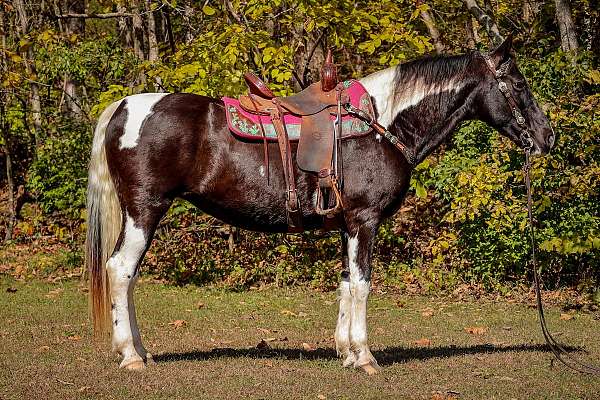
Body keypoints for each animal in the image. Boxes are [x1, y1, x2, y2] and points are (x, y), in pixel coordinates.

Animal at [84, 36, 552, 374]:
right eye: (518, 85)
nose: (548, 136)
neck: (382, 124)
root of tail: (123, 107)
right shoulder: (364, 220)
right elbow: (362, 284)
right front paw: (365, 357)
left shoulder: (347, 224)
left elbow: (346, 283)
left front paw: (346, 352)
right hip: (145, 209)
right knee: (120, 270)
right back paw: (131, 356)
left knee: (128, 276)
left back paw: (142, 351)